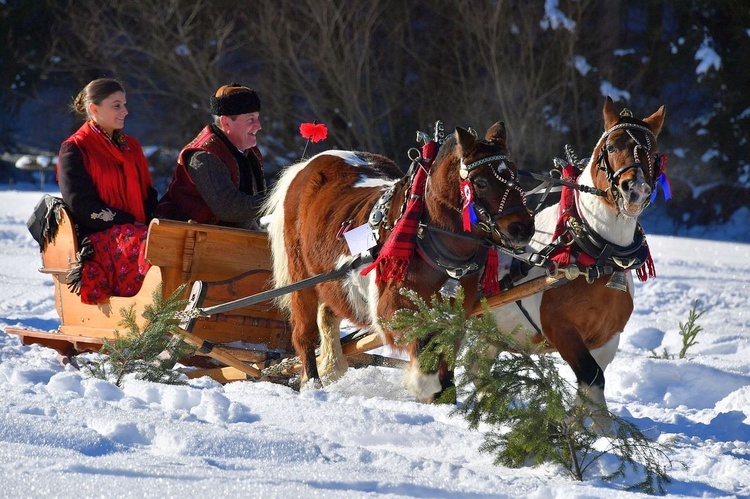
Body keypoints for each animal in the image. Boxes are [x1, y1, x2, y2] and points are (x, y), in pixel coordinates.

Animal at [264, 122, 536, 402]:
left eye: (515, 175)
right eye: (480, 182)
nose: (522, 228)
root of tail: (307, 165)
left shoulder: (459, 311)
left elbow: (446, 355)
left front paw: (445, 399)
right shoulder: (392, 310)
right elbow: (424, 345)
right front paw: (421, 385)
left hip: (338, 284)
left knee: (329, 312)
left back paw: (331, 365)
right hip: (301, 277)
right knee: (304, 333)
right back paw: (313, 385)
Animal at [490, 97, 668, 434]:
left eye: (652, 151)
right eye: (611, 147)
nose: (636, 189)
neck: (598, 257)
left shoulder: (607, 338)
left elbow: (588, 389)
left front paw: (576, 428)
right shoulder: (561, 330)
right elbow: (592, 379)